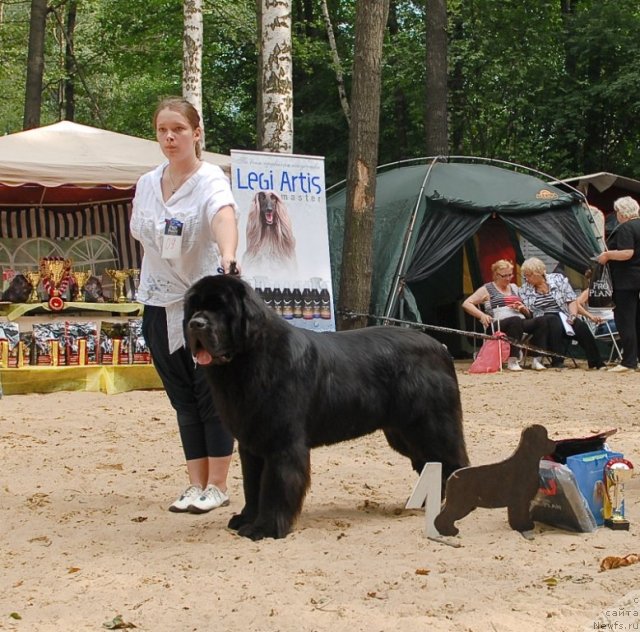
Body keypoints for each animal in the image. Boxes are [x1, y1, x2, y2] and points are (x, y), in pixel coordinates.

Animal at [185, 274, 470, 540]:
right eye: (194, 307)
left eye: (221, 308)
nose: (195, 324)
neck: (250, 359)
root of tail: (441, 347)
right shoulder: (251, 443)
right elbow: (252, 485)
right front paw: (245, 519)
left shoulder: (282, 443)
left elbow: (275, 486)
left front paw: (264, 528)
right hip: (404, 433)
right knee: (431, 465)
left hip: (432, 426)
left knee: (454, 462)